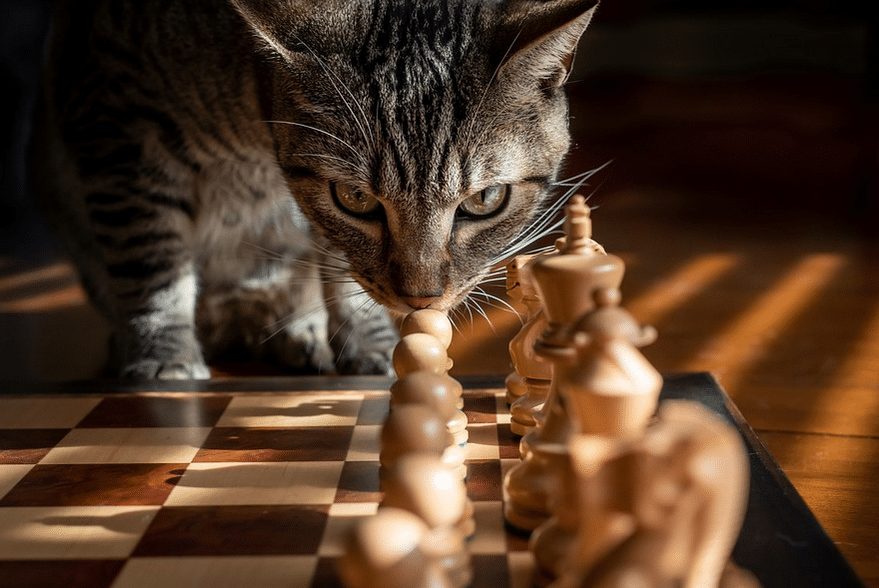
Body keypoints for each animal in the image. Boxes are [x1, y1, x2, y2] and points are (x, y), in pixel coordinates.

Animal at [32, 0, 600, 378]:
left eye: (484, 200)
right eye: (356, 199)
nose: (420, 298)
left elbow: (344, 276)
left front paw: (371, 345)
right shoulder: (115, 120)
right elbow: (152, 266)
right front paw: (164, 358)